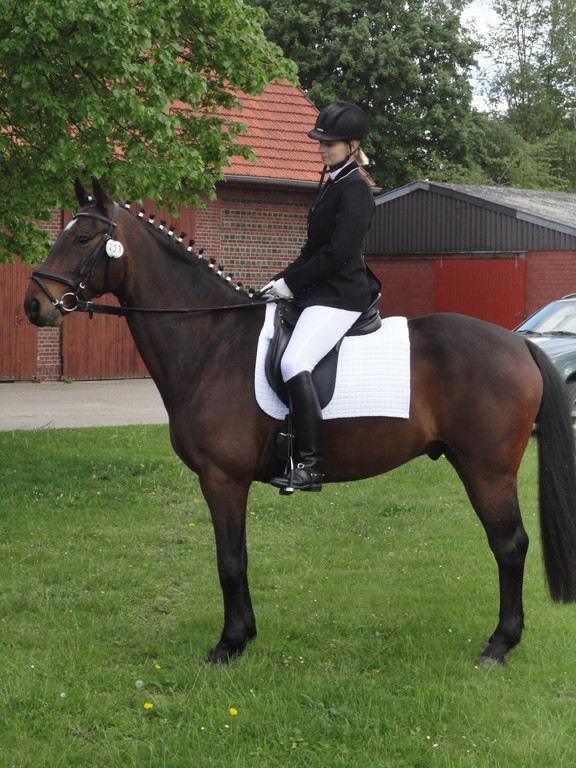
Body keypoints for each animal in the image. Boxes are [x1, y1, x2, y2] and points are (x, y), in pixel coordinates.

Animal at [24, 178, 576, 664]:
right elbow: (239, 557)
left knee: (510, 545)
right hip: (470, 463)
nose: (33, 306)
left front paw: (227, 646)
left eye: (81, 238)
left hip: (489, 470)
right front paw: (245, 636)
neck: (211, 340)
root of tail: (519, 344)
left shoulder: (221, 478)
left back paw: (499, 645)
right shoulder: (228, 482)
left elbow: (229, 562)